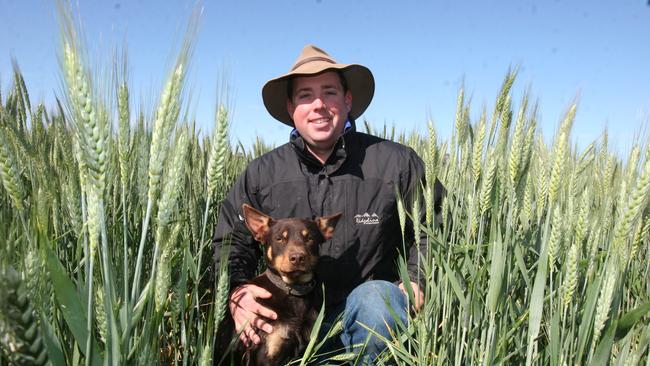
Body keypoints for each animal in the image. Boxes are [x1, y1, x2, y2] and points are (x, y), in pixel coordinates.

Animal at [234, 204, 344, 366]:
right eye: (279, 238)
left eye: (309, 238)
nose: (297, 257)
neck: (293, 290)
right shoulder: (267, 353)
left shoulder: (307, 349)